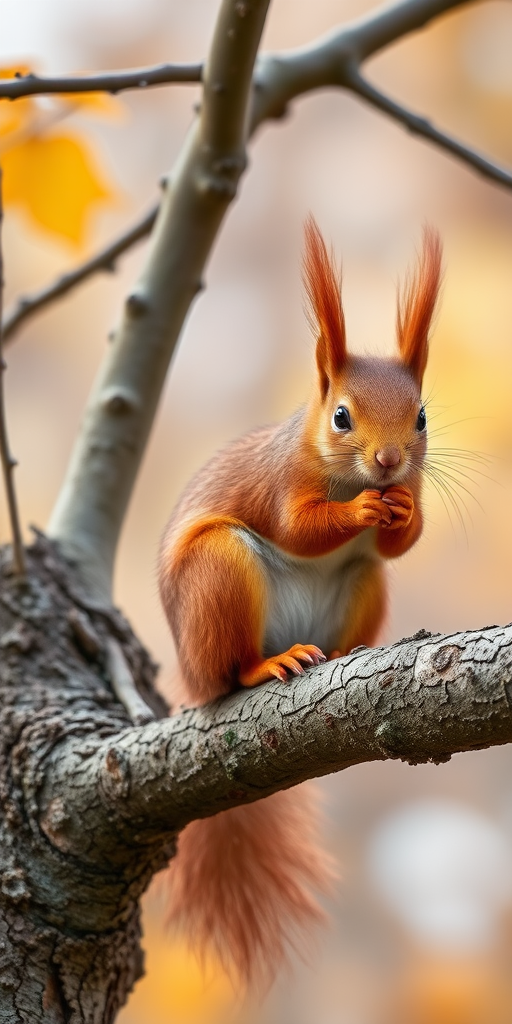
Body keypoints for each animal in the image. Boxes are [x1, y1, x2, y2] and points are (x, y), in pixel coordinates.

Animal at [159, 216, 442, 989]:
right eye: (341, 416)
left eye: (422, 417)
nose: (388, 463)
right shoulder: (283, 481)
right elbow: (297, 527)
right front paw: (363, 511)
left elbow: (403, 544)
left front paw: (401, 514)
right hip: (218, 578)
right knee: (227, 676)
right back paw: (267, 666)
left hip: (363, 590)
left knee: (365, 585)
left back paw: (344, 655)